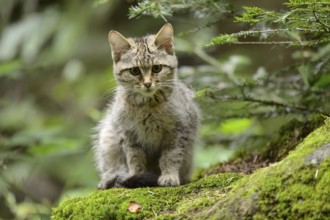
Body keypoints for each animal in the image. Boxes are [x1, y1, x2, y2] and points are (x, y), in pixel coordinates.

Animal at [94, 24, 200, 189]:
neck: (147, 106)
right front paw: (136, 176)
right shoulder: (129, 135)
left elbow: (171, 156)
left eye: (157, 68)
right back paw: (108, 178)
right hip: (108, 136)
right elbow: (135, 159)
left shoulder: (178, 132)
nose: (148, 83)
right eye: (134, 70)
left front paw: (169, 175)